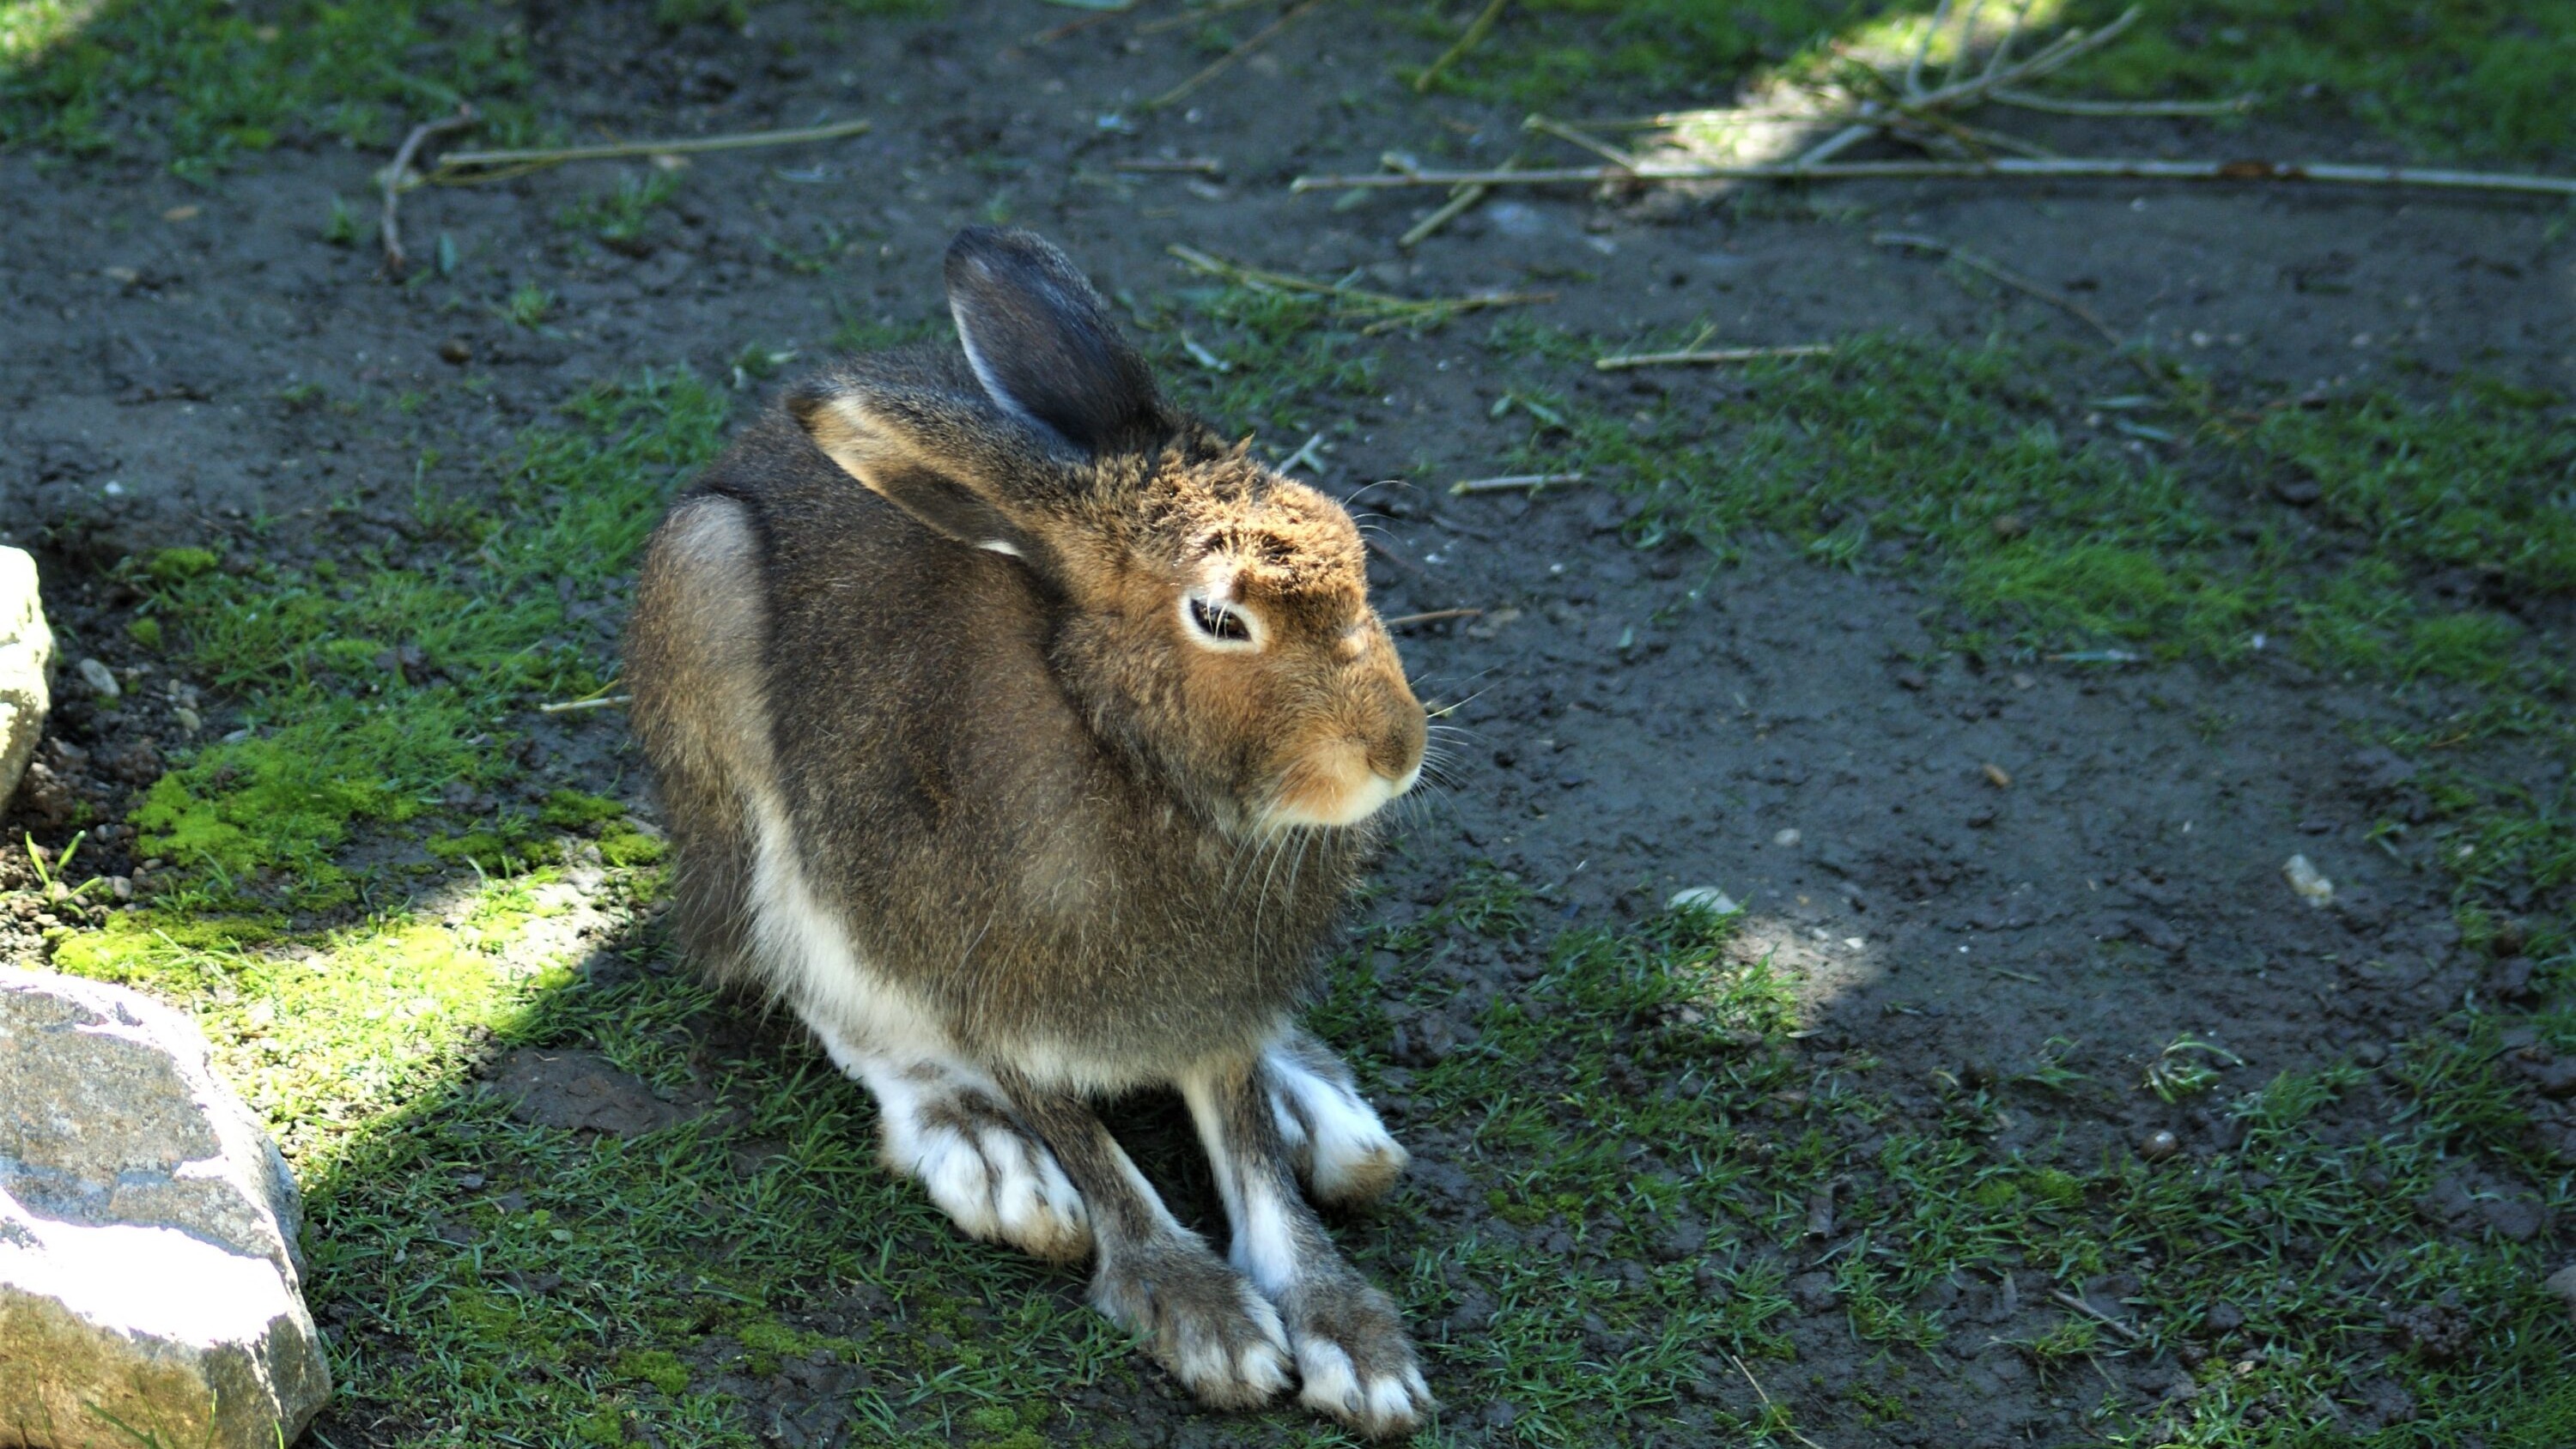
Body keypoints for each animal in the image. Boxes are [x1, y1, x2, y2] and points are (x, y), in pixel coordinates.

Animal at [625, 226, 1434, 1437]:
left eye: (1356, 556)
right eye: (1219, 615)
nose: (1395, 749)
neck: (1129, 748)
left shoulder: (1220, 997)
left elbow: (1246, 1139)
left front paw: (1350, 1334)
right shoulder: (978, 956)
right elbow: (1082, 1134)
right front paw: (1200, 1310)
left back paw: (1326, 1112)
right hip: (710, 618)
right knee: (800, 972)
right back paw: (980, 1142)